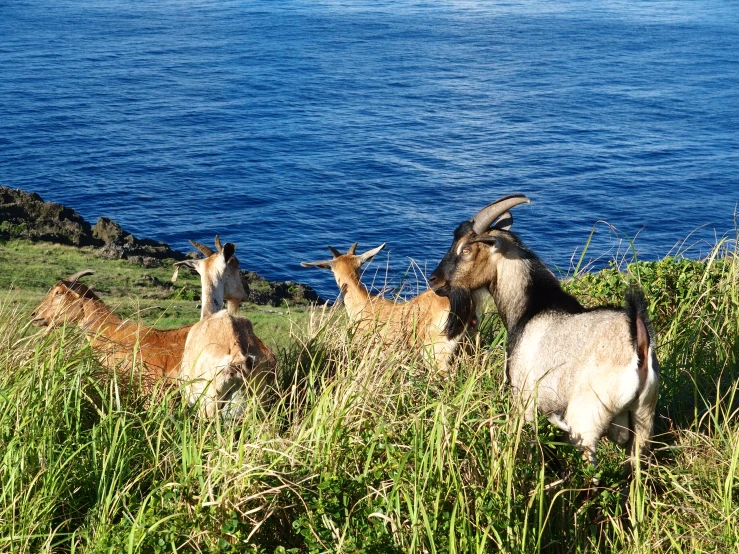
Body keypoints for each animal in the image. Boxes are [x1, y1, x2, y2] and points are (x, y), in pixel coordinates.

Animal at [430, 194, 660, 466]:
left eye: (466, 249)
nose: (434, 280)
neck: (532, 308)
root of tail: (638, 345)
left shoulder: (525, 399)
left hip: (586, 418)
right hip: (643, 418)